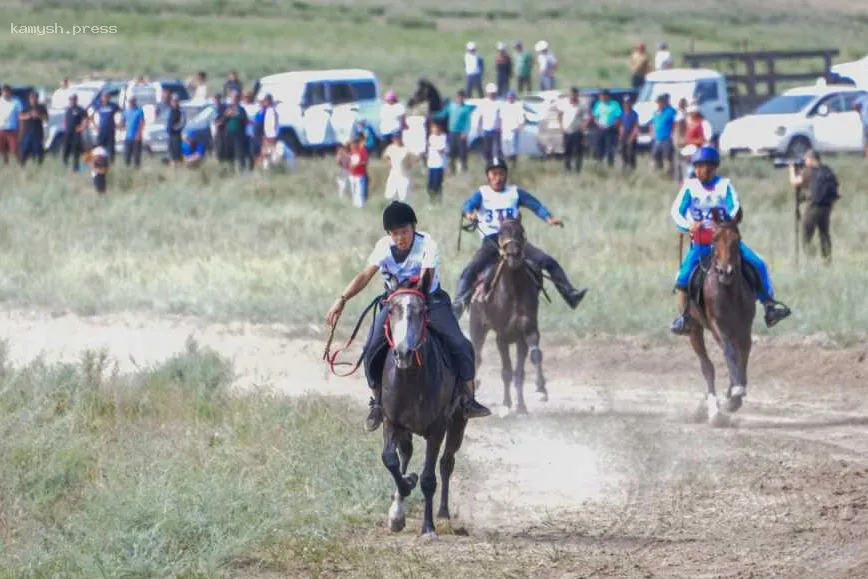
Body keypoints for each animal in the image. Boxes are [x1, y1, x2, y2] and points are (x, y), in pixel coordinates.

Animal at [380, 288, 468, 536]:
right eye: (392, 310)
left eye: (422, 312)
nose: (403, 353)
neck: (411, 379)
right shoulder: (391, 420)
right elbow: (390, 459)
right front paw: (405, 488)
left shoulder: (437, 428)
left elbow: (429, 478)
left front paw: (428, 528)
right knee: (405, 454)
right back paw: (398, 508)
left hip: (457, 423)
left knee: (446, 463)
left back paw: (443, 514)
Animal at [472, 220, 544, 414]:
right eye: (501, 233)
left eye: (521, 231)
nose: (513, 254)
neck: (513, 294)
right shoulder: (502, 336)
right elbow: (506, 371)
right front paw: (507, 403)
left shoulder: (526, 332)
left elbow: (526, 365)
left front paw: (535, 394)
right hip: (478, 329)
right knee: (477, 355)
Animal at [688, 211, 756, 428]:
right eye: (715, 238)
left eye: (737, 239)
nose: (725, 271)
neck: (729, 293)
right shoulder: (718, 327)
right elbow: (729, 353)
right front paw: (733, 396)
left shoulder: (744, 329)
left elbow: (743, 355)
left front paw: (735, 396)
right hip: (694, 329)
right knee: (707, 367)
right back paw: (713, 410)